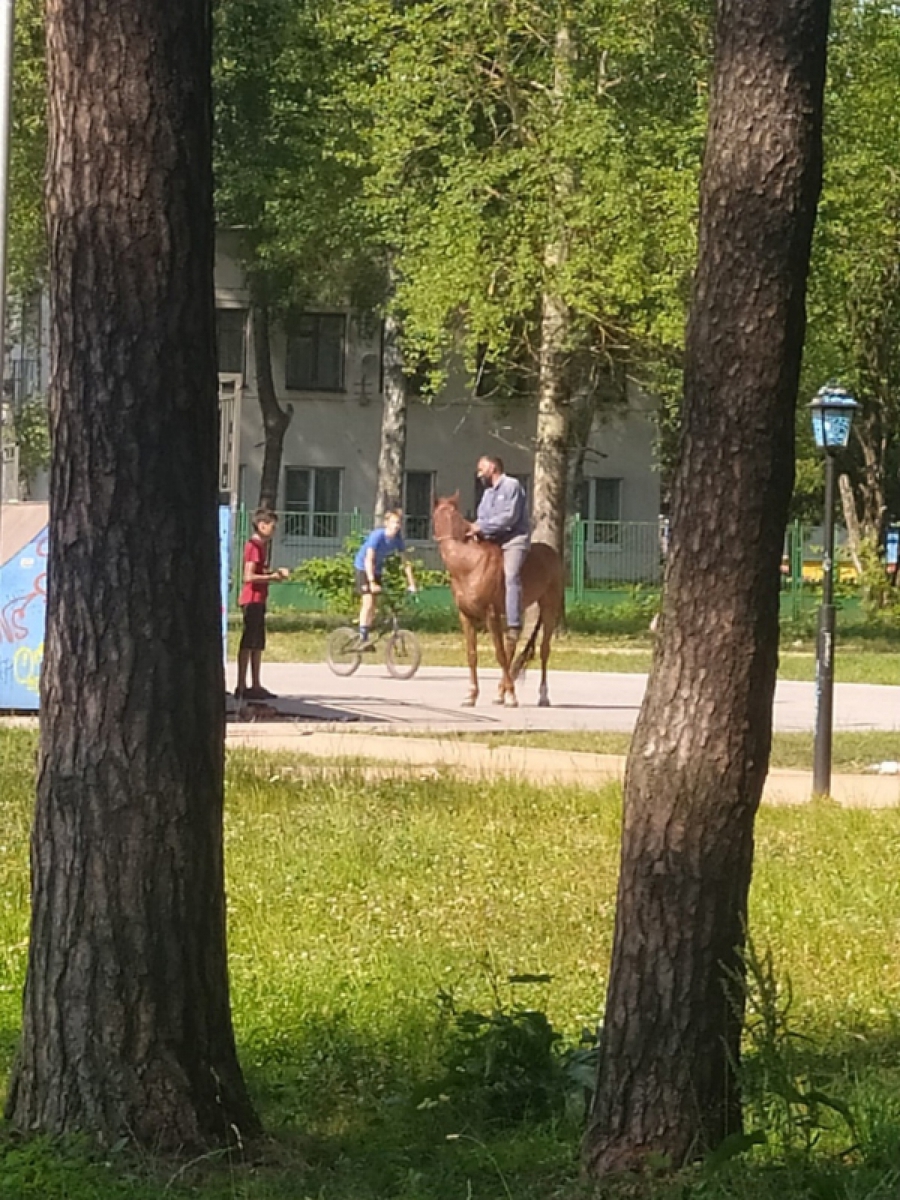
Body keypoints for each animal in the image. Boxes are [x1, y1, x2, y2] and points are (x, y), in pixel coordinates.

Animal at [432, 492, 564, 705]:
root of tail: (552, 553)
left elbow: (499, 654)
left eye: (453, 514)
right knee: (512, 643)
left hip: (549, 608)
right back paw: (500, 693)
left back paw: (542, 695)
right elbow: (472, 654)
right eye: (437, 516)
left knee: (543, 650)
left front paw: (511, 695)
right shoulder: (466, 616)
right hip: (516, 610)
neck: (468, 564)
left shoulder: (491, 614)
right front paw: (471, 695)